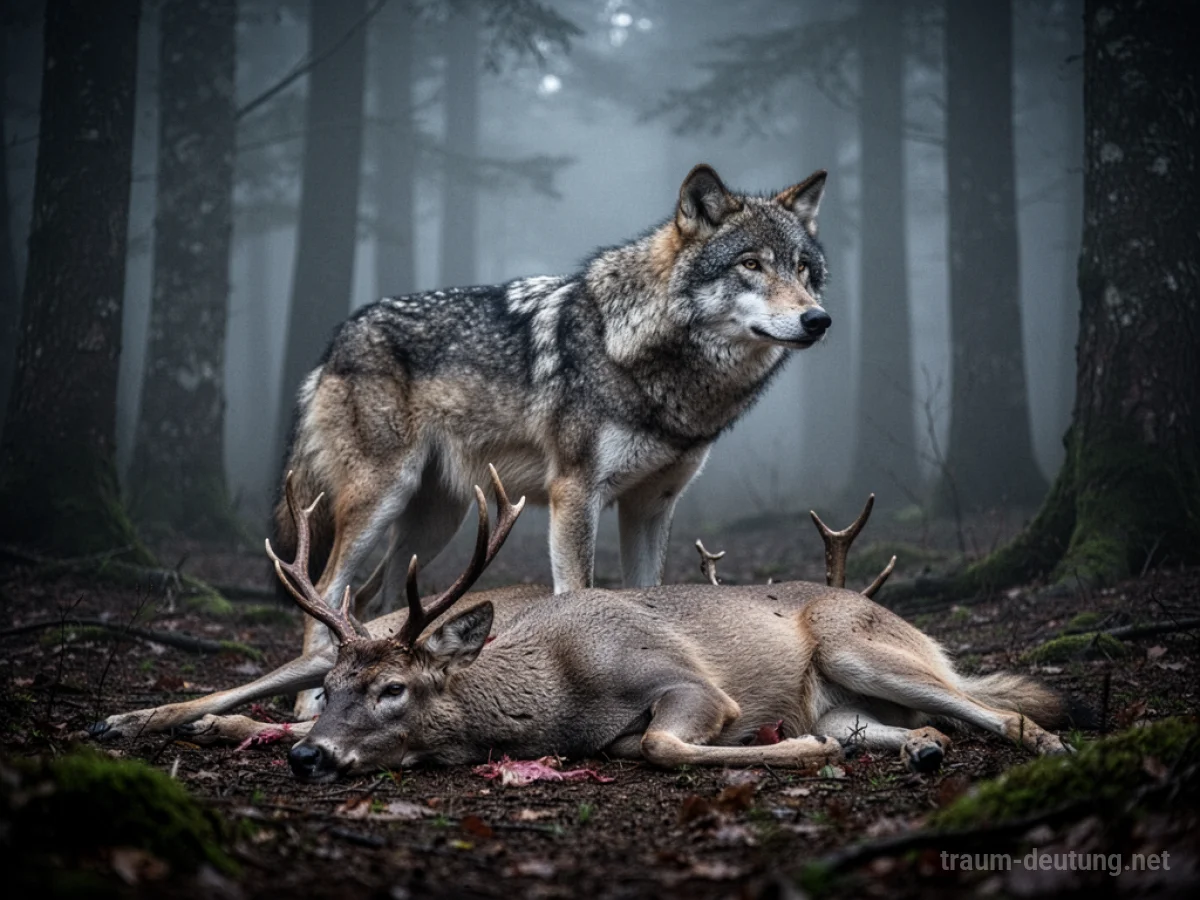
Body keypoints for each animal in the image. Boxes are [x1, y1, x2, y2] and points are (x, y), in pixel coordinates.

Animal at [278, 164, 831, 717]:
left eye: (804, 269)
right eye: (751, 264)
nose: (818, 319)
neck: (636, 351)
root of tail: (339, 337)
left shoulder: (652, 504)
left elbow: (650, 596)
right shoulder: (576, 493)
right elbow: (578, 592)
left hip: (437, 522)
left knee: (374, 598)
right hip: (381, 501)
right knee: (326, 588)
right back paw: (309, 705)